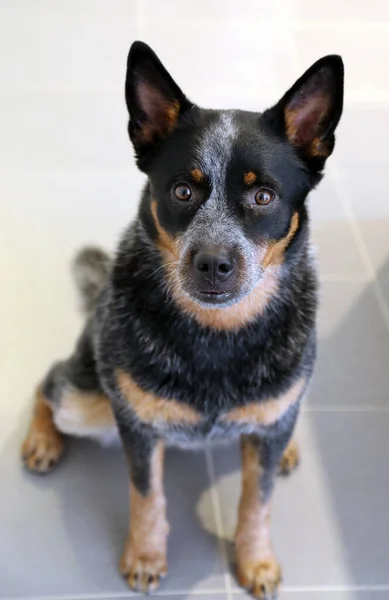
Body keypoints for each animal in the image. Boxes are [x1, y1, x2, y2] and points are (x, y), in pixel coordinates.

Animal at [21, 39, 342, 596]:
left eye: (263, 196)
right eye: (183, 191)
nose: (213, 262)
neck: (218, 335)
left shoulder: (268, 428)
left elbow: (257, 502)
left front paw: (256, 560)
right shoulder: (138, 429)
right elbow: (147, 498)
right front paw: (145, 555)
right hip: (85, 401)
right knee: (50, 383)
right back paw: (41, 438)